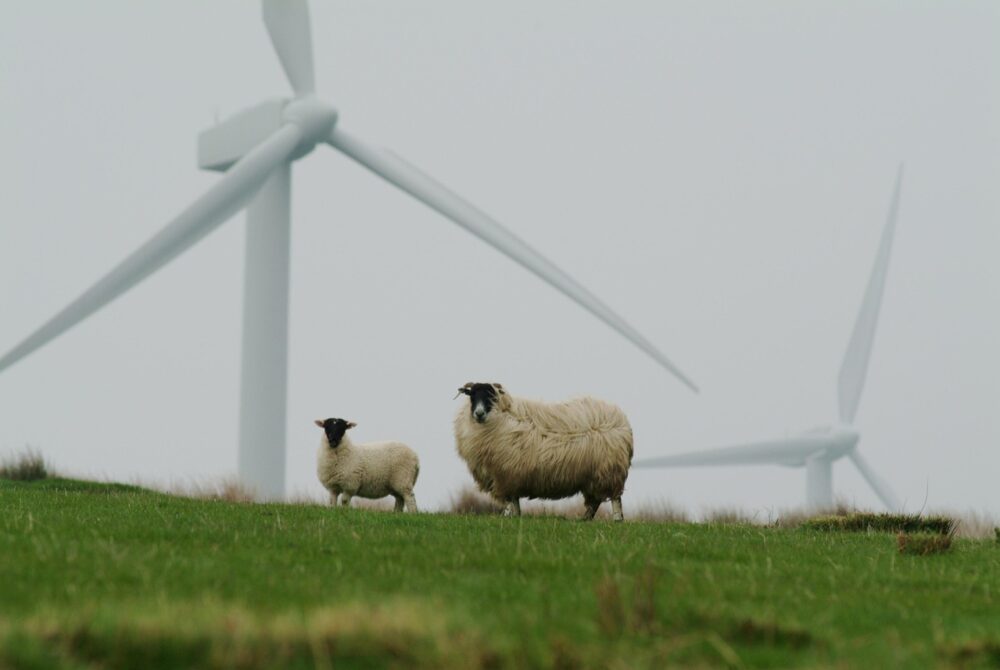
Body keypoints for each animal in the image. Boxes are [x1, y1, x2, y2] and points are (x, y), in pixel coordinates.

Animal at [454, 386, 632, 524]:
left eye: (490, 397)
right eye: (472, 396)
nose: (479, 413)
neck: (501, 418)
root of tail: (622, 422)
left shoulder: (505, 476)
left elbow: (510, 501)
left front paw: (507, 517)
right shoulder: (510, 477)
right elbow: (514, 502)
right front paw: (515, 517)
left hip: (610, 472)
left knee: (615, 499)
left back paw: (617, 519)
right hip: (593, 477)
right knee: (595, 501)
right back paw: (585, 519)